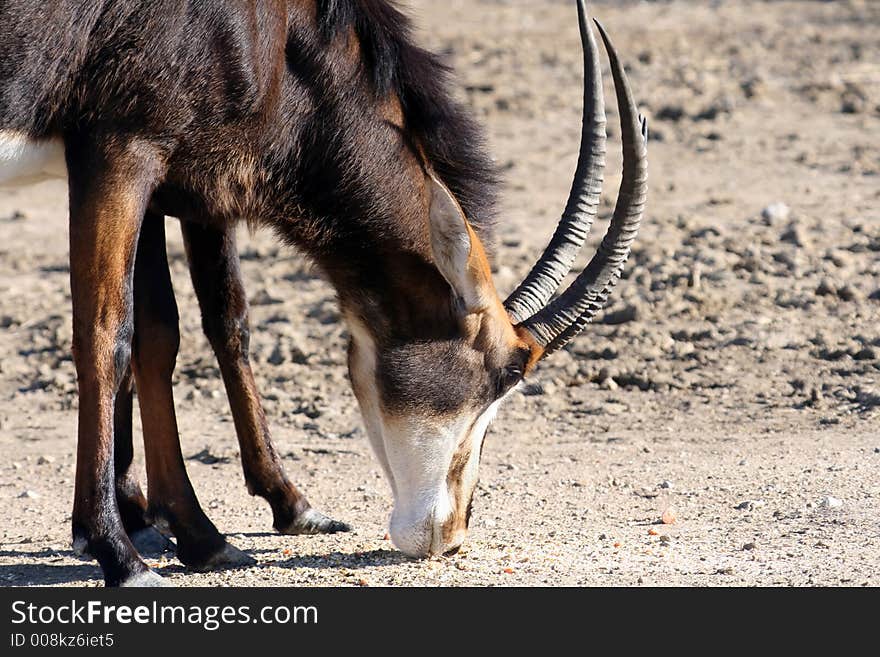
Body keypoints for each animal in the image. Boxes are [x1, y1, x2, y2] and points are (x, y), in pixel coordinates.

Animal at [0, 0, 648, 584]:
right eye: (508, 373)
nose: (450, 534)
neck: (279, 32)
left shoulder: (170, 177)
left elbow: (181, 329)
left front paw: (210, 530)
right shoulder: (122, 152)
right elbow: (107, 336)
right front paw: (118, 551)